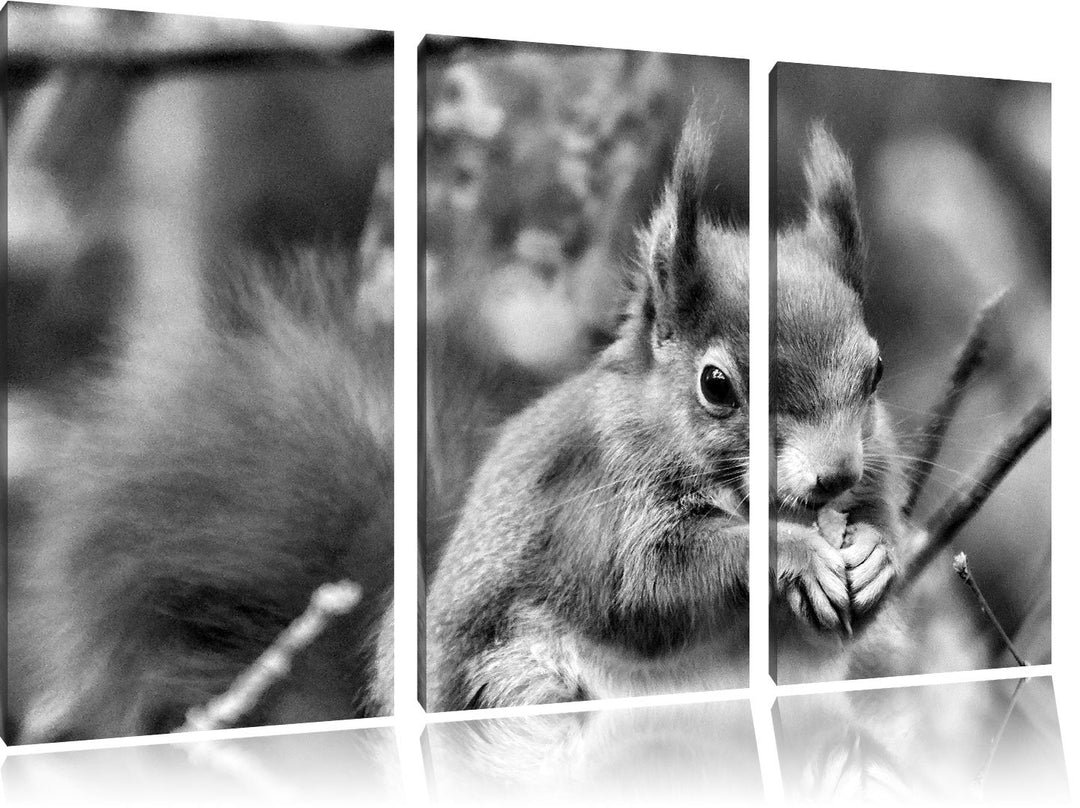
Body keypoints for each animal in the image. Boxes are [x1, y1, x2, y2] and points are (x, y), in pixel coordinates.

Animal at [411, 114, 905, 711]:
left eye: (876, 369)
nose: (836, 476)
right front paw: (797, 552)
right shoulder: (599, 498)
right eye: (715, 385)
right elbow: (647, 587)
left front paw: (877, 553)